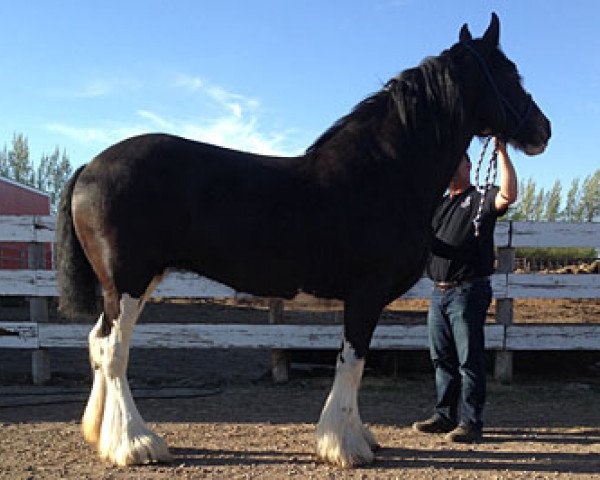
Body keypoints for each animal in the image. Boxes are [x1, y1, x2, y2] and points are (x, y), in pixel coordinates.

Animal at [55, 13, 548, 466]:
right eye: (509, 73)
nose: (543, 129)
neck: (384, 172)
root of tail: (89, 166)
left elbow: (355, 364)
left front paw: (359, 438)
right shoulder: (364, 295)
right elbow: (352, 363)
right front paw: (344, 447)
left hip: (133, 285)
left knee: (98, 342)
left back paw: (101, 435)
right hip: (129, 283)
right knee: (114, 351)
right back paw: (136, 444)